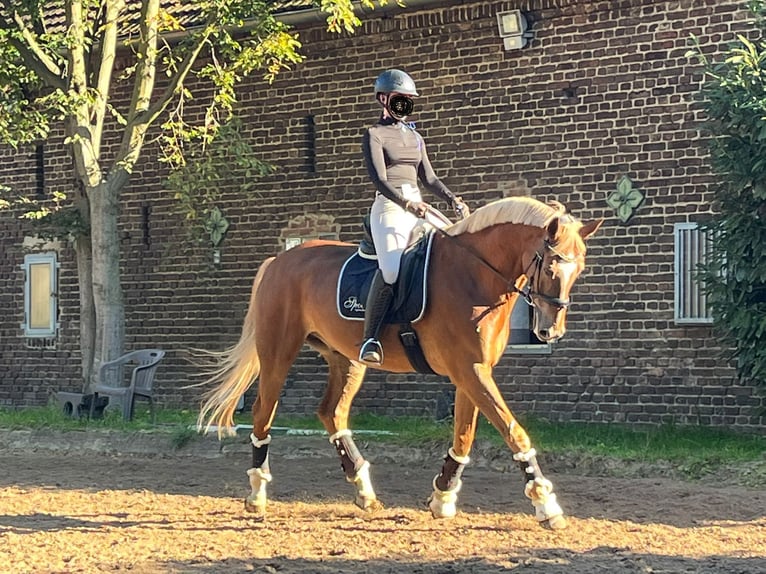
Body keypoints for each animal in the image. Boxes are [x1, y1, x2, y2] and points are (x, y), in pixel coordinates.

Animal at [200, 198, 608, 532]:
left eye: (579, 269)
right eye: (551, 266)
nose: (550, 330)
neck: (474, 275)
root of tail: (280, 260)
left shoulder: (472, 372)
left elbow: (464, 436)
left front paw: (442, 497)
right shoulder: (471, 371)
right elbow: (514, 432)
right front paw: (546, 504)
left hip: (346, 359)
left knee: (332, 412)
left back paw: (364, 491)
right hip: (278, 352)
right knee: (263, 412)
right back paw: (257, 493)